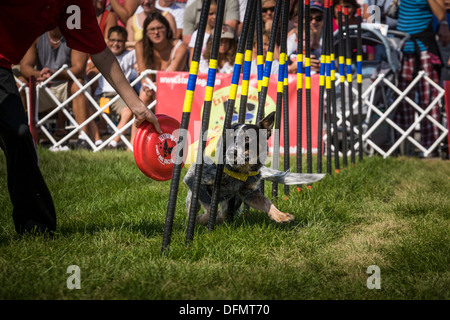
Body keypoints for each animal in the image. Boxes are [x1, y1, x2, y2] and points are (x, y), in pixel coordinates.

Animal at [185, 111, 326, 226]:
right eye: (228, 138)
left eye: (247, 138)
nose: (230, 153)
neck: (240, 172)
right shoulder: (193, 178)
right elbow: (210, 209)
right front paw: (202, 220)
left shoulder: (249, 193)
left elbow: (267, 202)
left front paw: (281, 216)